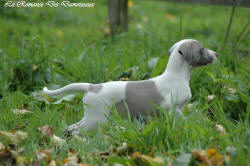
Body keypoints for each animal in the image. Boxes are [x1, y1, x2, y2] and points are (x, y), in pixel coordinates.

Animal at [43, 39, 219, 135]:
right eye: (202, 49)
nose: (216, 54)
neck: (177, 75)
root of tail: (92, 87)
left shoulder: (176, 109)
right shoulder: (171, 108)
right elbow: (181, 119)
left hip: (91, 116)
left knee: (73, 127)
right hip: (97, 119)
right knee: (77, 129)